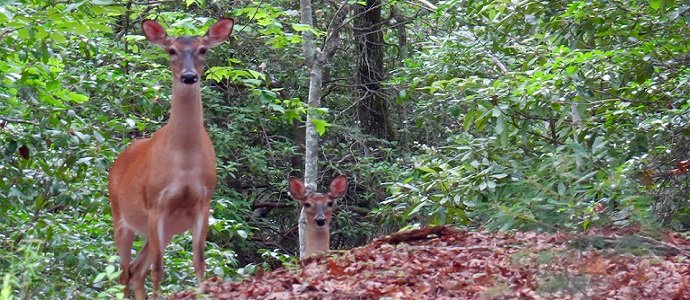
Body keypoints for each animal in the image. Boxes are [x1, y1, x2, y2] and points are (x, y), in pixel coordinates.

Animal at [109, 19, 232, 300]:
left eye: (203, 50)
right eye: (172, 50)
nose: (188, 76)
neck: (184, 164)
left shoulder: (203, 201)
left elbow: (199, 261)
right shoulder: (156, 203)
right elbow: (159, 268)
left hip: (166, 229)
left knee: (136, 270)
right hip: (121, 217)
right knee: (124, 274)